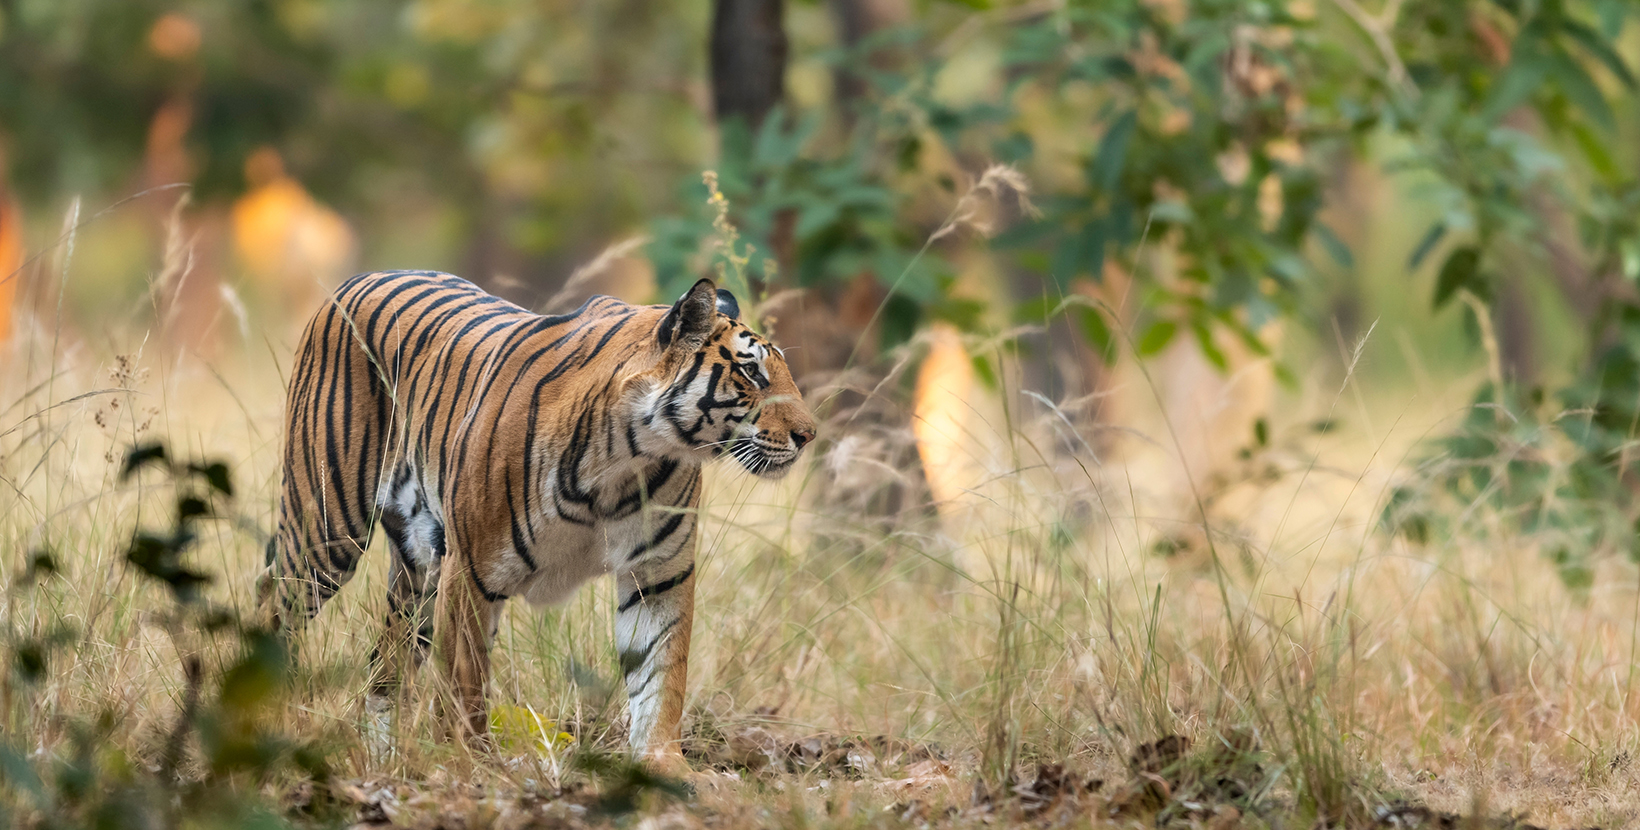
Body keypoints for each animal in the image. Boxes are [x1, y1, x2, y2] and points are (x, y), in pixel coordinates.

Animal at [259, 272, 816, 770]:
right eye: (752, 374)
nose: (809, 435)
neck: (628, 459)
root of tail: (355, 280)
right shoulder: (473, 569)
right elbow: (465, 679)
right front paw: (469, 763)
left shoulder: (659, 575)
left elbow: (661, 674)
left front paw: (665, 767)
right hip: (326, 532)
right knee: (275, 604)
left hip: (418, 570)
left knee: (387, 662)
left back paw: (383, 758)